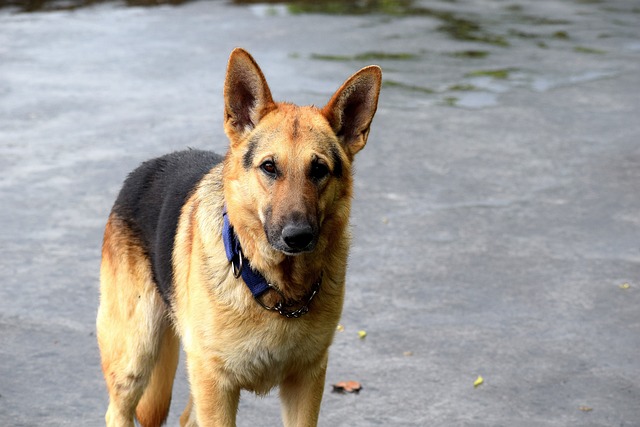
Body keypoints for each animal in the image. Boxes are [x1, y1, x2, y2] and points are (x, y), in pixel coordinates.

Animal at [96, 48, 380, 426]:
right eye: (269, 167)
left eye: (318, 169)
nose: (298, 236)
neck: (275, 288)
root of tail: (148, 166)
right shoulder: (216, 387)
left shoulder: (305, 383)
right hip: (136, 356)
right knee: (118, 409)